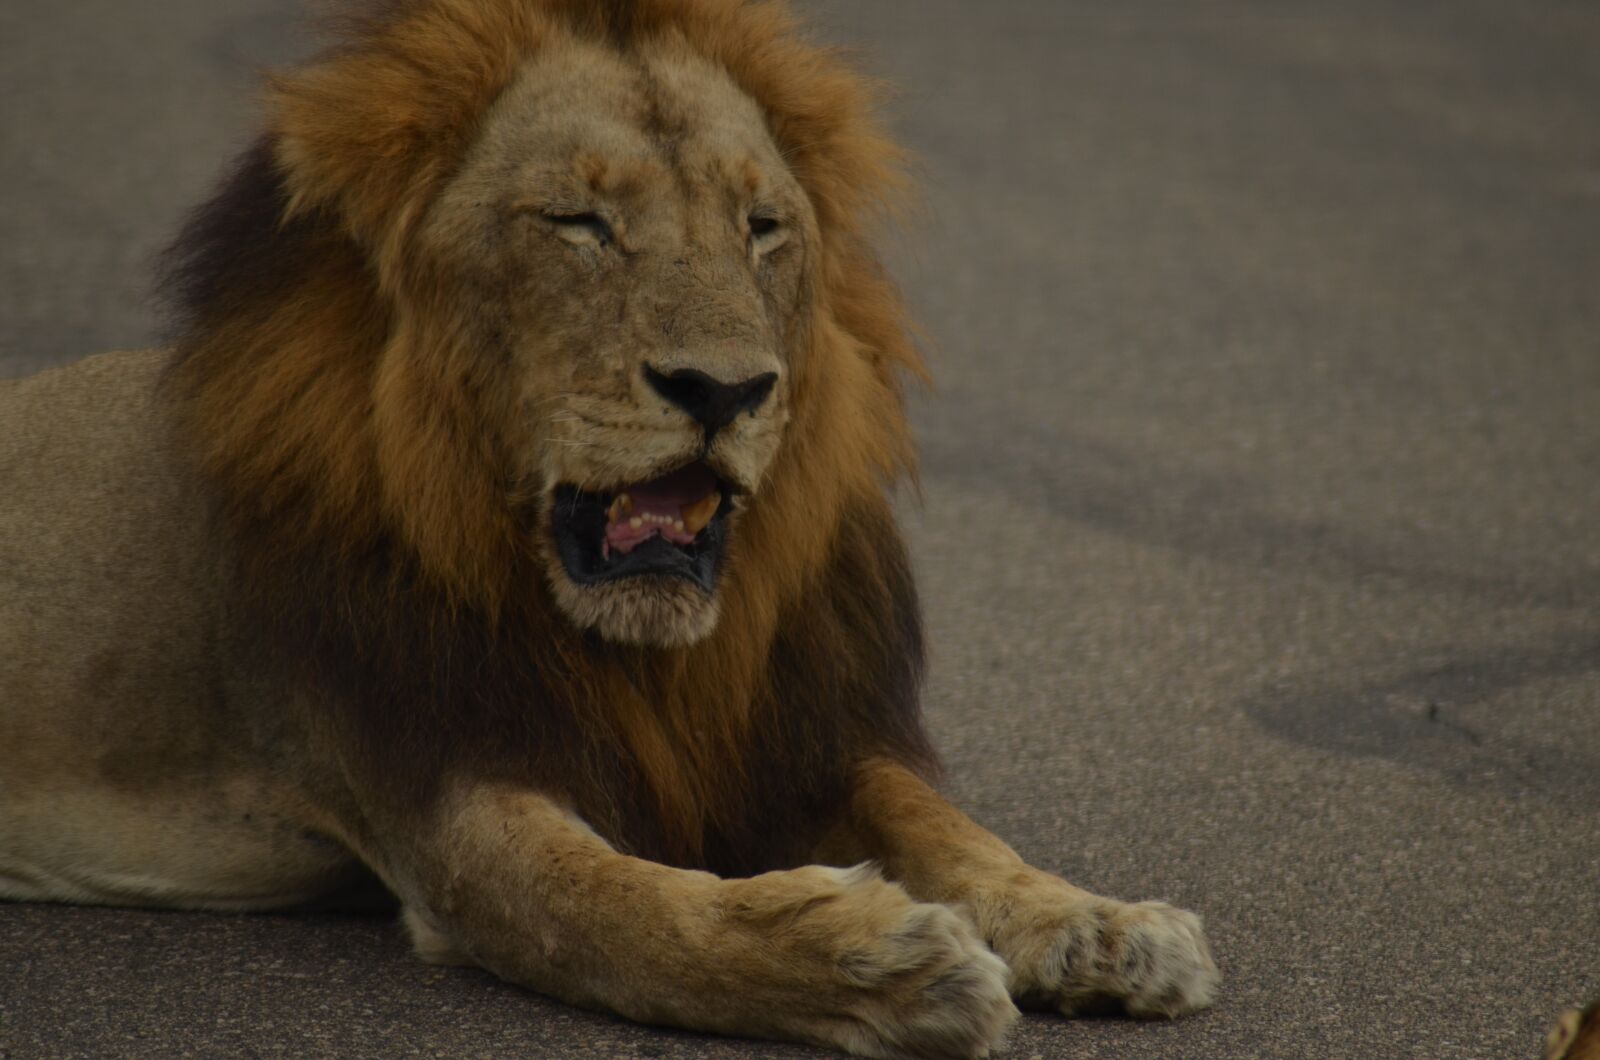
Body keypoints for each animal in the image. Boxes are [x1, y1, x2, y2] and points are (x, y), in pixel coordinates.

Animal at [0, 1, 1219, 1055]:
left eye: (761, 229)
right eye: (580, 224)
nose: (724, 390)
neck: (648, 655)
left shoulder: (792, 734)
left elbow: (944, 824)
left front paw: (1099, 925)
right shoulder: (443, 792)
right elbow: (625, 913)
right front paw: (879, 962)